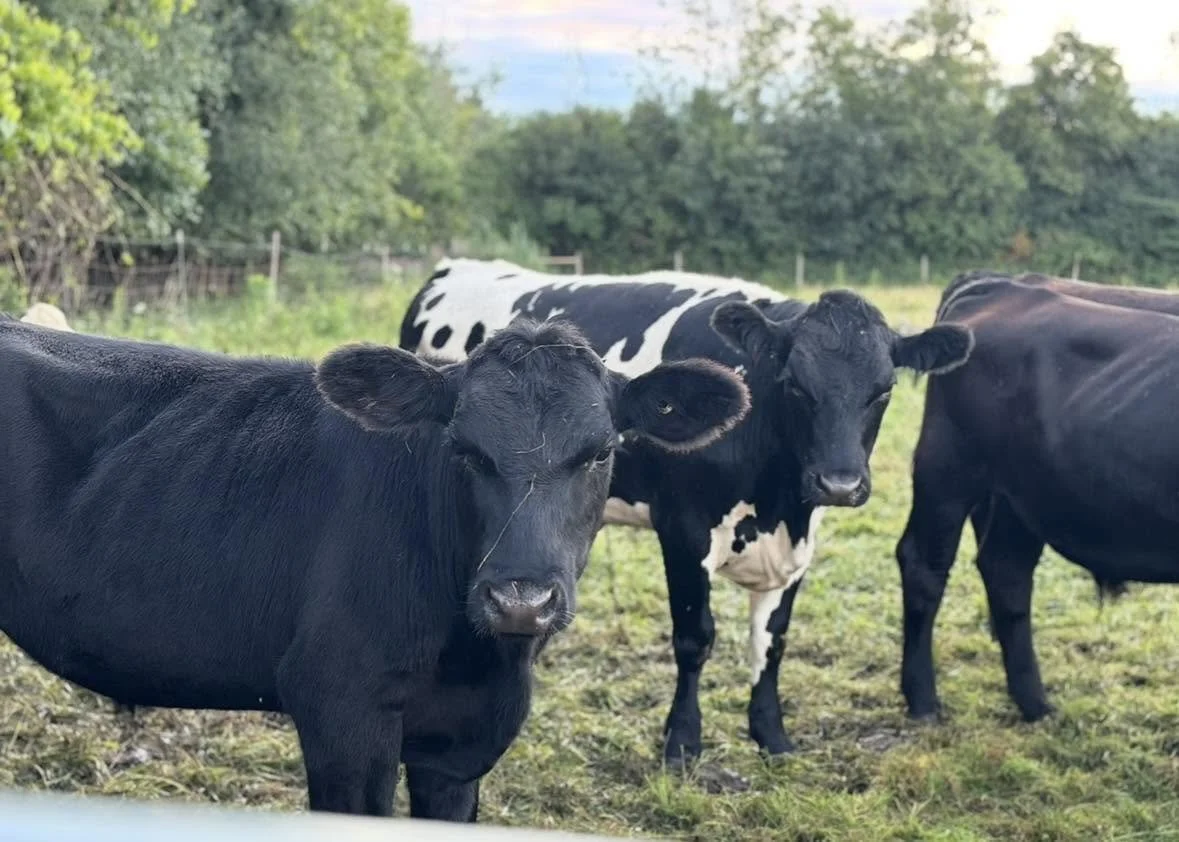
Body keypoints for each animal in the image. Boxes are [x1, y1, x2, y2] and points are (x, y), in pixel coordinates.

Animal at [0, 314, 749, 819]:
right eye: (464, 449)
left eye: (600, 452)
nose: (520, 600)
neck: (478, 661)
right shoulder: (342, 710)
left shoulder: (458, 748)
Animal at [399, 258, 973, 764]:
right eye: (796, 386)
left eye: (884, 390)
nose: (839, 483)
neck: (777, 503)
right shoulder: (684, 531)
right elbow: (695, 638)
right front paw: (682, 744)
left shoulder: (798, 546)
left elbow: (771, 642)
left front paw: (772, 736)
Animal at [898, 270, 1179, 724]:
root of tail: (1004, 289)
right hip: (948, 472)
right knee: (925, 567)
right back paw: (923, 700)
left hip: (1019, 496)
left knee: (1006, 572)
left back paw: (1035, 704)